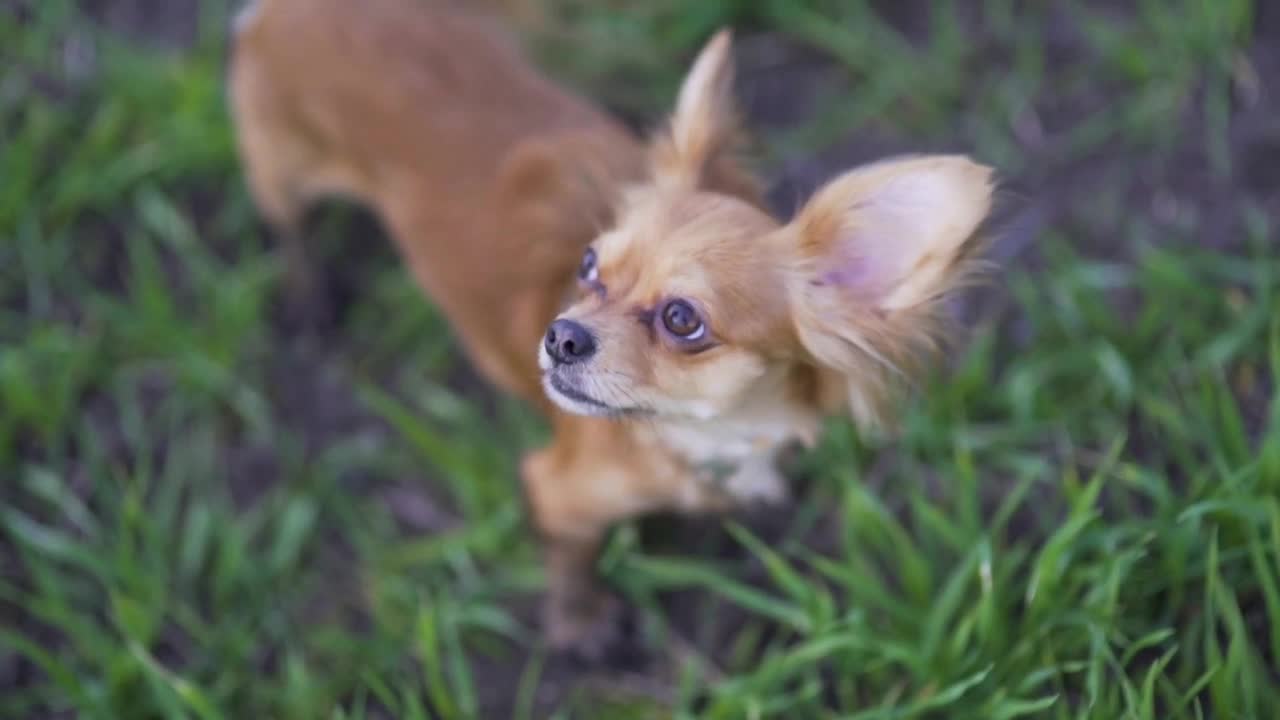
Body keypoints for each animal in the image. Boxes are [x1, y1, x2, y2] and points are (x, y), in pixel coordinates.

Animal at [230, 0, 993, 655]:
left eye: (682, 320)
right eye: (589, 266)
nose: (560, 334)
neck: (700, 431)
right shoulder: (558, 491)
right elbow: (571, 558)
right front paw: (580, 624)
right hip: (281, 164)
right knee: (287, 224)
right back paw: (308, 298)